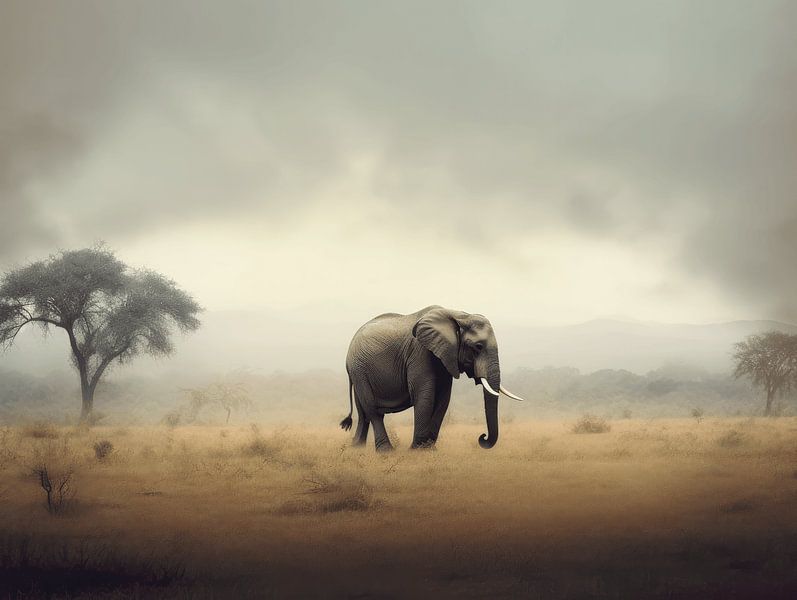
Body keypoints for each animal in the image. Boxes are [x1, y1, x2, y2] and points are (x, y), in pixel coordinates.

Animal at [340, 305, 524, 451]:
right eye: (478, 347)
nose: (482, 438)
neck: (458, 315)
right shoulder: (419, 352)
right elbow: (424, 395)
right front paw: (416, 450)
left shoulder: (445, 357)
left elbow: (443, 398)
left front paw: (429, 449)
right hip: (359, 368)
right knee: (372, 409)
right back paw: (385, 452)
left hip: (359, 370)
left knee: (363, 411)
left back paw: (356, 449)